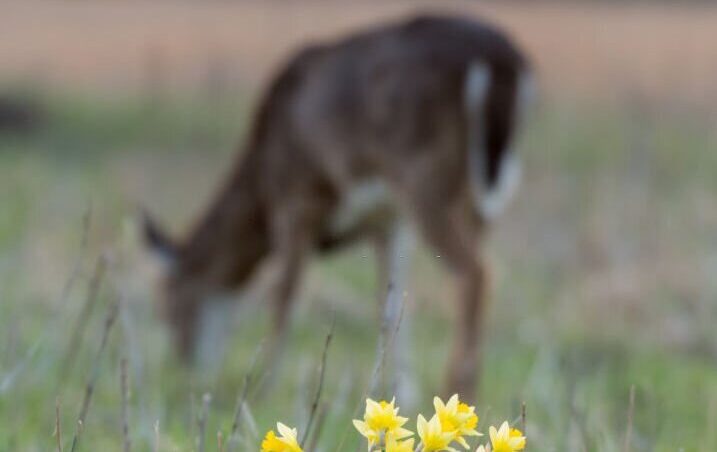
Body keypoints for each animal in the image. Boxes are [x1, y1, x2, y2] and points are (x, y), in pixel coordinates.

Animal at [141, 15, 532, 400]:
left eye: (169, 303)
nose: (185, 363)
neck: (262, 183)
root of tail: (502, 61)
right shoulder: (388, 220)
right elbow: (390, 304)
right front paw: (399, 393)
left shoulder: (297, 198)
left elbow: (283, 294)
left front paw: (266, 387)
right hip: (482, 192)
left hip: (423, 175)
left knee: (475, 272)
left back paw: (459, 387)